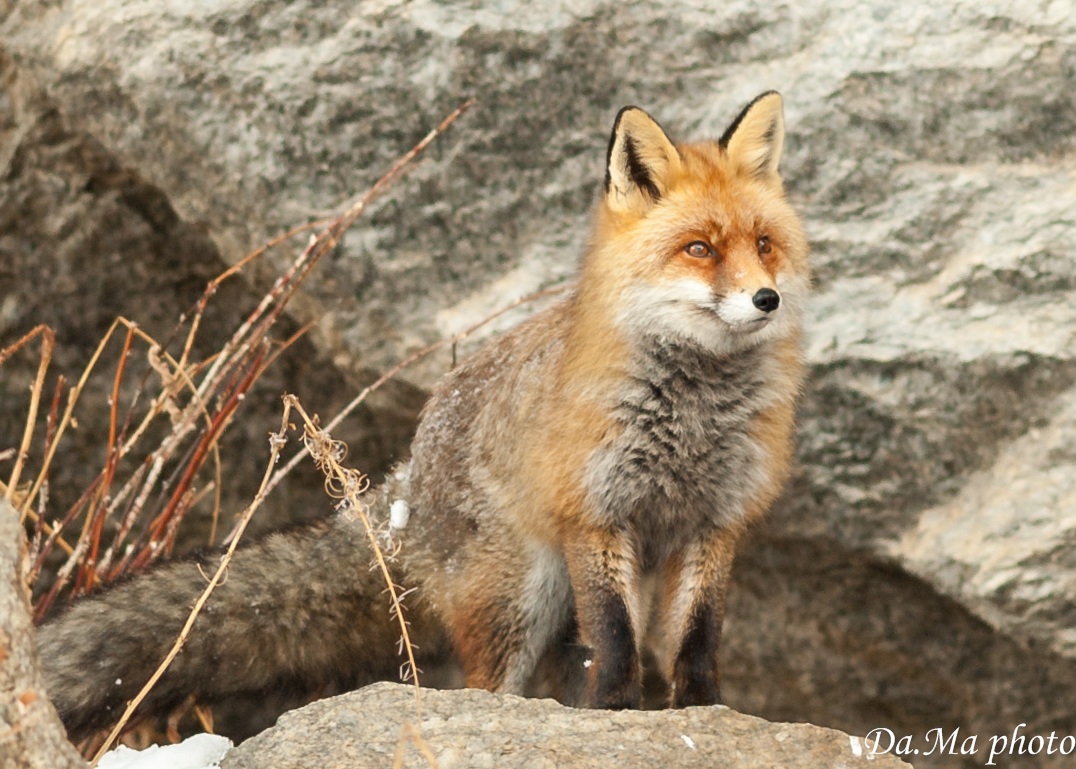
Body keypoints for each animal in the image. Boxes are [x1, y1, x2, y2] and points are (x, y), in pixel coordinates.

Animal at [38, 91, 810, 740]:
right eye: (699, 249)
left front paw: (707, 713)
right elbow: (617, 638)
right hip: (521, 598)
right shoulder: (596, 515)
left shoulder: (714, 523)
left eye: (763, 244)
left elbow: (698, 639)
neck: (694, 414)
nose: (766, 299)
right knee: (491, 688)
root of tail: (409, 472)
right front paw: (620, 714)